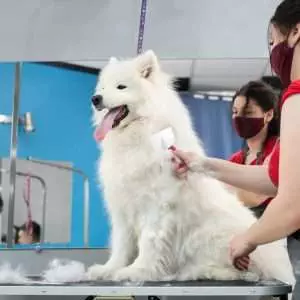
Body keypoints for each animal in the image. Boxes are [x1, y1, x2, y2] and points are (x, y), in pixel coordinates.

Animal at [88, 51, 296, 290]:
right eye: (103, 87)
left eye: (121, 87)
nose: (95, 99)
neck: (140, 135)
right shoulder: (123, 208)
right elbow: (122, 244)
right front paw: (109, 269)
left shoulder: (156, 208)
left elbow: (149, 242)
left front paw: (136, 271)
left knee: (246, 272)